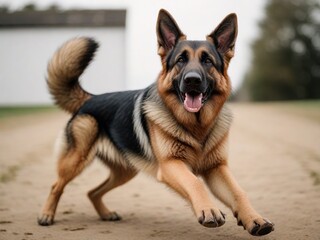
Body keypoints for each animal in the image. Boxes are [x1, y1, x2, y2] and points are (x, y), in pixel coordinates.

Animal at [37, 8, 274, 236]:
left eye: (207, 61)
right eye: (181, 60)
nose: (192, 80)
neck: (196, 127)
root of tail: (90, 98)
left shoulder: (216, 168)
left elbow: (238, 192)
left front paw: (254, 219)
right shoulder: (171, 165)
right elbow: (195, 182)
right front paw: (209, 209)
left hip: (125, 172)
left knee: (92, 192)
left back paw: (105, 213)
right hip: (75, 161)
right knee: (56, 185)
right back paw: (46, 215)